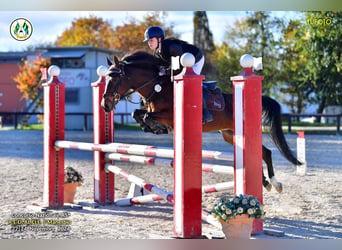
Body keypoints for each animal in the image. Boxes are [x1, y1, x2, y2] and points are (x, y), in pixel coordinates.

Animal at [101, 49, 302, 192]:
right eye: (106, 78)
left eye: (115, 78)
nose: (105, 105)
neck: (157, 86)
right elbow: (136, 113)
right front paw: (152, 128)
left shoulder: (169, 115)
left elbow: (146, 115)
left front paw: (156, 127)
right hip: (230, 134)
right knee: (259, 153)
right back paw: (265, 182)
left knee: (264, 152)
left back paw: (275, 183)